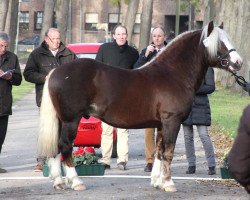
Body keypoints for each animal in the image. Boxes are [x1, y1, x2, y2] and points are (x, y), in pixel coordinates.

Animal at [38, 21, 243, 191]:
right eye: (219, 42)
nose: (238, 62)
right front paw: (169, 183)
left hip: (61, 120)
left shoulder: (161, 124)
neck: (173, 74)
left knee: (56, 148)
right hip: (71, 120)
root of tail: (56, 71)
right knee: (65, 147)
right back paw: (76, 182)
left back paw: (59, 182)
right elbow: (168, 152)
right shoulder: (172, 121)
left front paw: (158, 182)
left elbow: (159, 152)